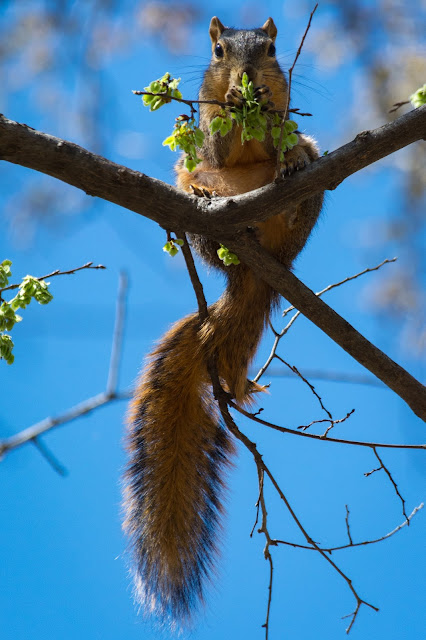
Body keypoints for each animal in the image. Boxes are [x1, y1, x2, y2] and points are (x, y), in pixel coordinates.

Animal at [123, 17, 322, 628]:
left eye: (272, 49)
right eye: (217, 50)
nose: (246, 75)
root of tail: (264, 268)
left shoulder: (286, 117)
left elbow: (279, 133)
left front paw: (275, 135)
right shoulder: (209, 135)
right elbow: (220, 140)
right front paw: (234, 101)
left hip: (304, 199)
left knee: (302, 169)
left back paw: (295, 178)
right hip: (188, 180)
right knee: (200, 182)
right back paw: (208, 198)